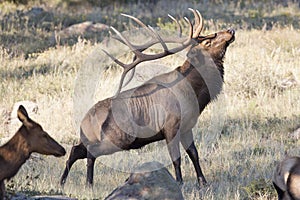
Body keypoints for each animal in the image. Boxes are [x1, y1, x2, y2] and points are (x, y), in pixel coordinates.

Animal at [60, 8, 234, 188]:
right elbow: (176, 158)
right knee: (90, 153)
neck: (195, 93)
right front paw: (179, 182)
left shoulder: (187, 126)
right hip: (117, 138)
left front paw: (203, 182)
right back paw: (88, 183)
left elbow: (194, 153)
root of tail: (84, 123)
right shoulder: (171, 126)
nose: (231, 30)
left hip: (91, 138)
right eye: (208, 41)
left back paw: (62, 181)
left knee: (76, 150)